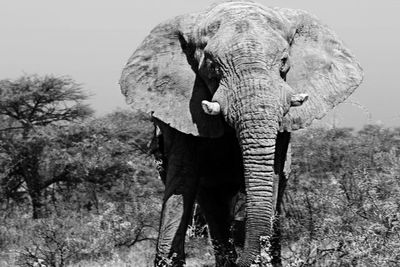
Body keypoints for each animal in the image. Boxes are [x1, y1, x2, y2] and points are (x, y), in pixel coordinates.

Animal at [119, 1, 362, 266]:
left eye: (284, 61)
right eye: (212, 66)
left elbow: (273, 176)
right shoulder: (180, 110)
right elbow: (182, 181)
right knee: (212, 204)